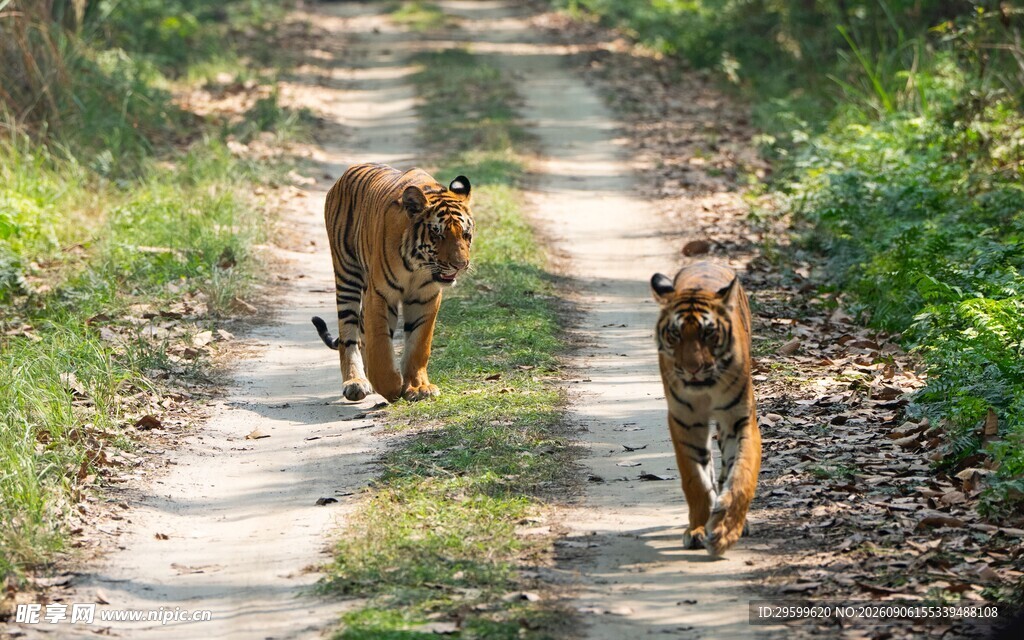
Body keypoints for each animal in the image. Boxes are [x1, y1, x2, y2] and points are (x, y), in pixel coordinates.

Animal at [310, 163, 474, 403]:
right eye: (438, 235)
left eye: (466, 234)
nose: (460, 265)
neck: (417, 266)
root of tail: (347, 172)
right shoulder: (380, 294)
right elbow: (380, 346)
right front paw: (390, 387)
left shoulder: (426, 297)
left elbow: (419, 344)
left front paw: (418, 387)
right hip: (346, 273)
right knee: (348, 335)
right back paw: (355, 382)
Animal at [650, 261, 761, 556]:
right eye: (675, 334)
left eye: (708, 333)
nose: (693, 369)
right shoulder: (685, 421)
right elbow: (696, 480)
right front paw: (698, 529)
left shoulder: (740, 418)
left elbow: (741, 474)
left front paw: (726, 530)